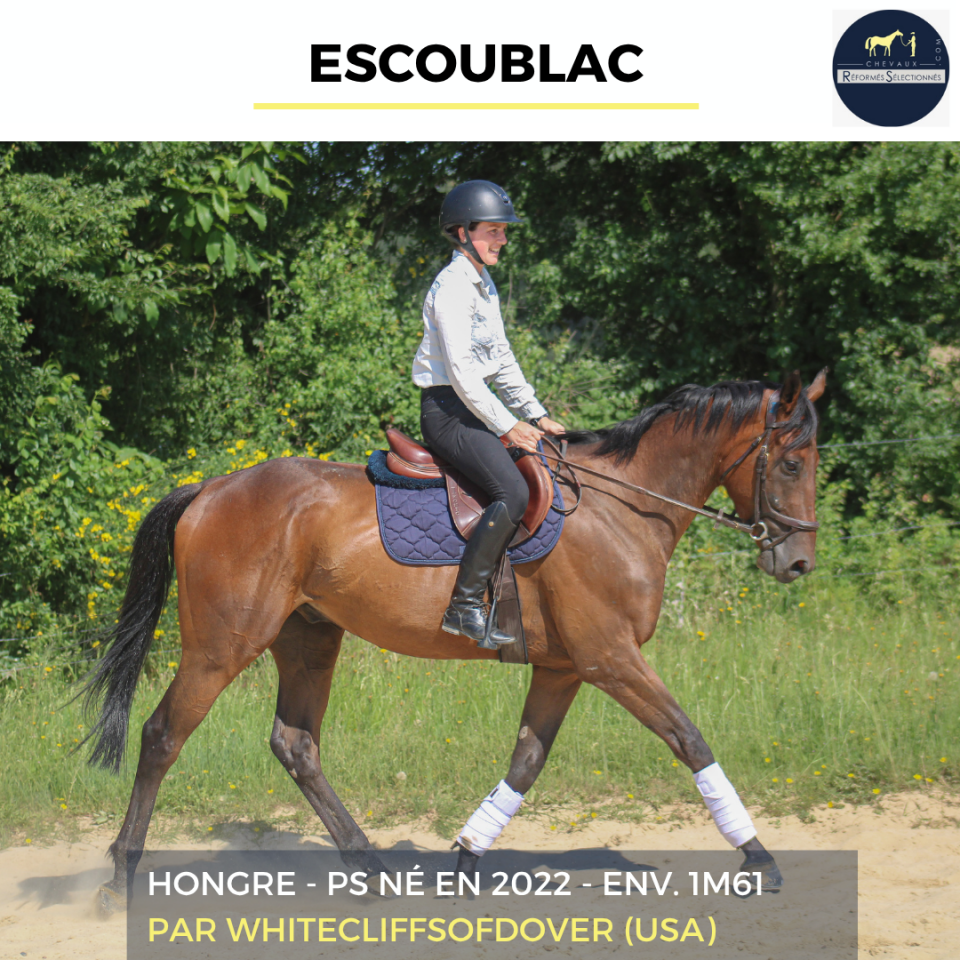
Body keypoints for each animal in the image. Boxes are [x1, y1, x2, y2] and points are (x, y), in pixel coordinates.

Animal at [82, 369, 826, 914]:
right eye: (791, 464)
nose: (797, 564)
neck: (621, 508)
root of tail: (212, 488)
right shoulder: (610, 658)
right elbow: (689, 739)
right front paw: (758, 856)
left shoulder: (564, 668)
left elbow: (526, 761)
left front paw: (468, 855)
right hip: (221, 646)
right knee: (163, 736)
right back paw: (120, 876)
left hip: (308, 639)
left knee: (296, 746)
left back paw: (371, 868)